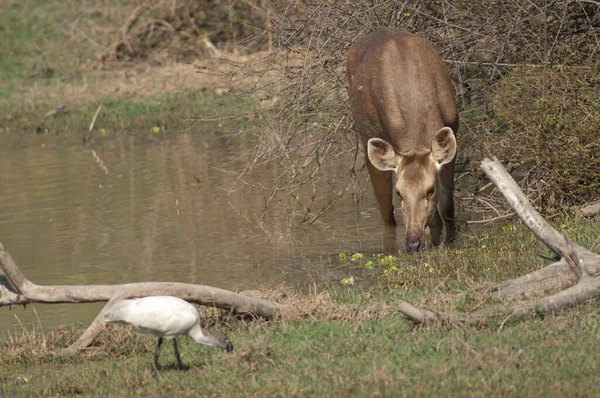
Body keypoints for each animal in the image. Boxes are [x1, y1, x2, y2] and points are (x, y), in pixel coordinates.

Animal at [344, 27, 458, 252]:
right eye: (400, 193)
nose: (412, 243)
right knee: (387, 215)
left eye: (430, 190)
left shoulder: (454, 123)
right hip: (367, 138)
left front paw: (451, 242)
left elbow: (447, 206)